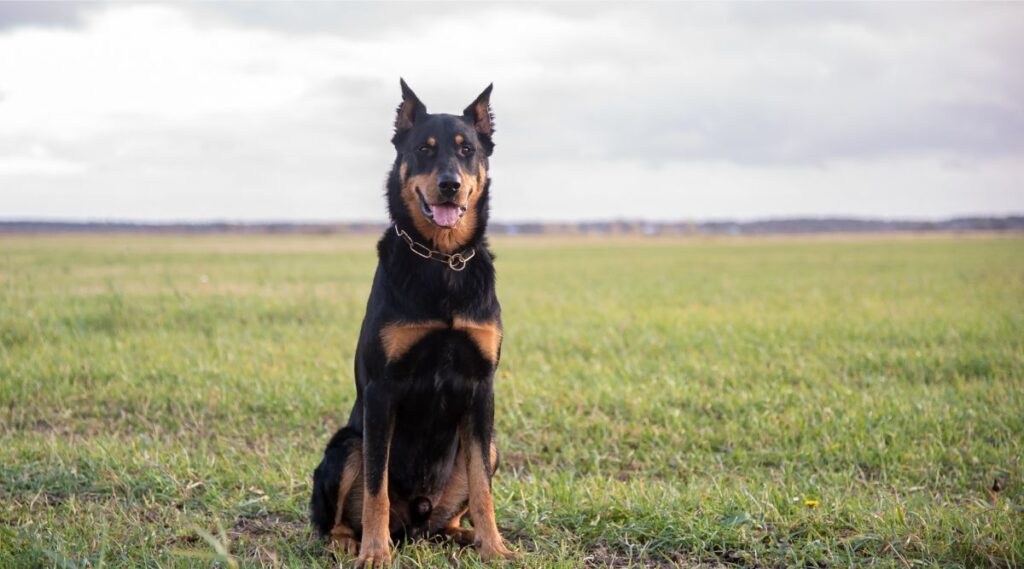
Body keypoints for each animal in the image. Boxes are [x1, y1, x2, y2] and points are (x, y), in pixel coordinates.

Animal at [305, 78, 509, 564]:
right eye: (423, 149)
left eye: (467, 150)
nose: (450, 185)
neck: (442, 260)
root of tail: (415, 522)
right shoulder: (382, 391)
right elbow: (375, 489)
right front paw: (375, 553)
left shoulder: (482, 388)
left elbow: (483, 488)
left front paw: (494, 547)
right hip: (345, 445)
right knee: (338, 515)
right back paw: (349, 542)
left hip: (490, 445)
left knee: (457, 506)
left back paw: (463, 535)